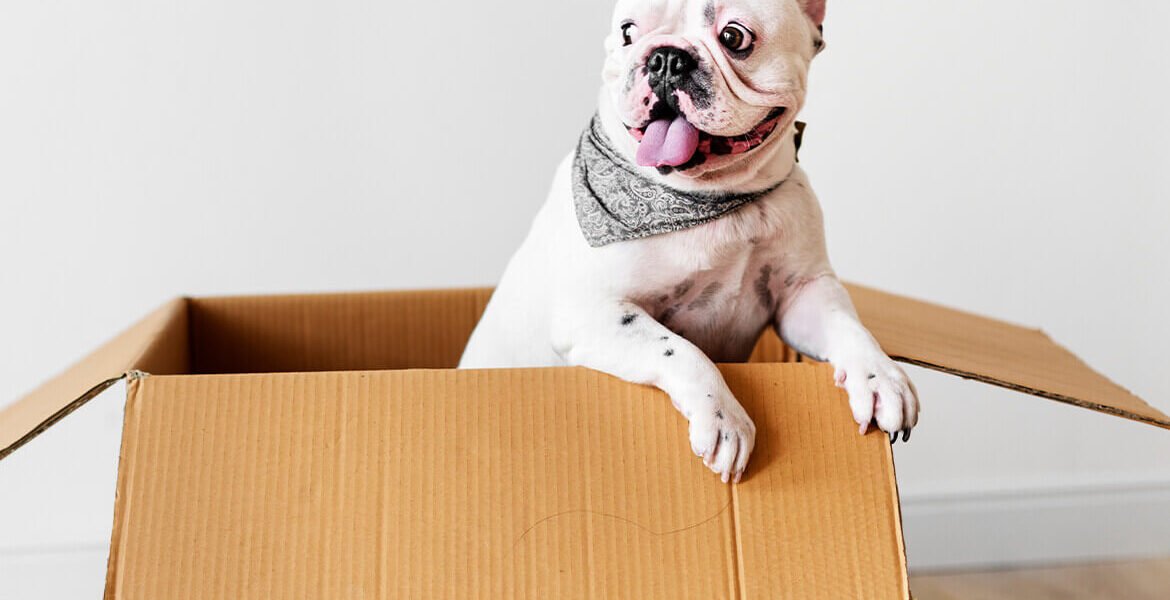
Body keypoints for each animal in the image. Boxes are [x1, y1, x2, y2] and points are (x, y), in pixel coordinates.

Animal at [460, 0, 918, 483]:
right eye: (627, 32)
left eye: (734, 37)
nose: (665, 58)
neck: (716, 199)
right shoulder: (594, 313)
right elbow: (679, 349)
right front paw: (724, 419)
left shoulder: (804, 293)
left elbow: (849, 325)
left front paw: (881, 376)